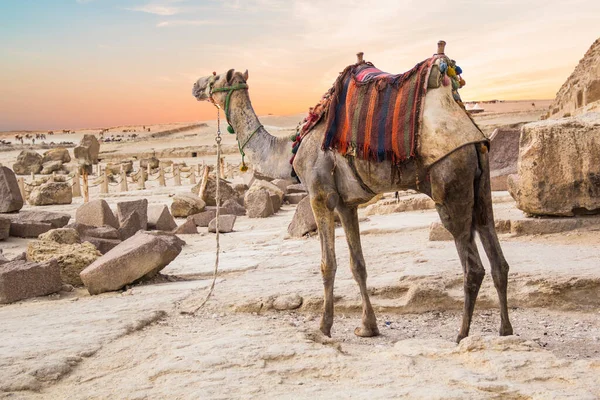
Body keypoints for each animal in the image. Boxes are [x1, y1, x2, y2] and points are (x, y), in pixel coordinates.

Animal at [193, 43, 516, 344]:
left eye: (215, 76)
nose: (196, 85)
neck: (289, 149)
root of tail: (471, 132)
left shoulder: (320, 195)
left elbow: (328, 264)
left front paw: (324, 328)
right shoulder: (347, 205)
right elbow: (357, 264)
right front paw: (368, 327)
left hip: (450, 184)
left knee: (473, 266)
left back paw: (462, 334)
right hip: (481, 183)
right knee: (497, 256)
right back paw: (505, 331)